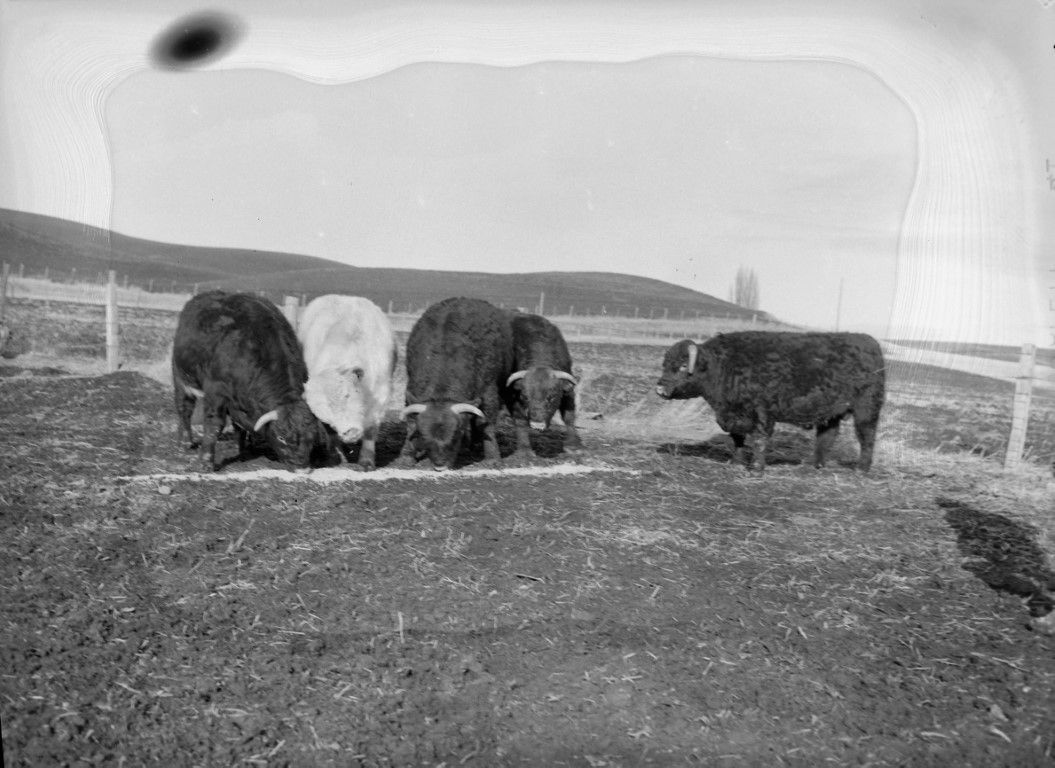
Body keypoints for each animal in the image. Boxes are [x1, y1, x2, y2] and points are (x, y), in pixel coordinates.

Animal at [172, 290, 328, 472]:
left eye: (311, 438)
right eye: (281, 437)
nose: (301, 468)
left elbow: (240, 427)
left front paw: (244, 451)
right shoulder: (216, 391)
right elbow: (214, 425)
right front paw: (205, 461)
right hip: (181, 376)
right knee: (184, 408)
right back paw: (185, 442)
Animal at [297, 294, 398, 470]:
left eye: (347, 395)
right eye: (325, 412)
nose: (350, 432)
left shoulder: (381, 395)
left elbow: (371, 430)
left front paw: (367, 461)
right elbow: (330, 433)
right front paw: (337, 458)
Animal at [398, 297, 513, 470]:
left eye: (457, 433)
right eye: (424, 435)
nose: (440, 465)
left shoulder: (489, 392)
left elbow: (485, 423)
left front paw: (492, 458)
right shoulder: (411, 392)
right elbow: (411, 424)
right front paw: (407, 456)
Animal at [504, 311, 582, 458]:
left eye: (552, 397)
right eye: (525, 397)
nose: (537, 425)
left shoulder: (567, 392)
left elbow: (569, 417)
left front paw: (573, 445)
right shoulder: (511, 395)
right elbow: (520, 420)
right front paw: (524, 450)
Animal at [655, 331, 885, 471]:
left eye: (683, 366)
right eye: (665, 365)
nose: (660, 388)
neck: (724, 365)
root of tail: (870, 343)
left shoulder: (763, 413)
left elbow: (759, 440)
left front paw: (757, 469)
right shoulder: (732, 416)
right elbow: (737, 439)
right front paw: (736, 462)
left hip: (866, 409)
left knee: (867, 437)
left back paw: (861, 469)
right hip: (831, 413)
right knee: (827, 436)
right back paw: (815, 465)